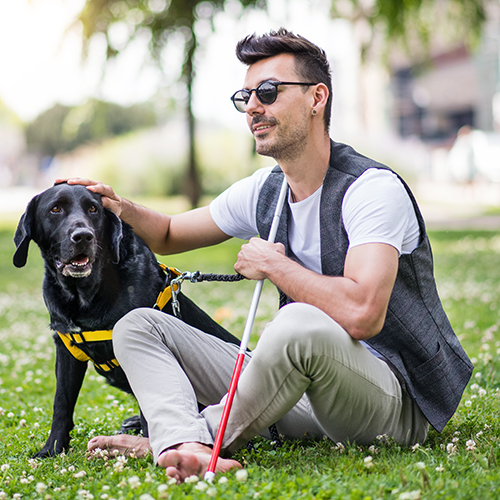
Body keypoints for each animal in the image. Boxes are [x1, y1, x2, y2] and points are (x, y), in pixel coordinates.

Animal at [12, 183, 238, 458]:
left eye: (93, 209)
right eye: (55, 209)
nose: (83, 236)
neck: (85, 294)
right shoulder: (66, 349)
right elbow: (62, 403)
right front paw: (52, 449)